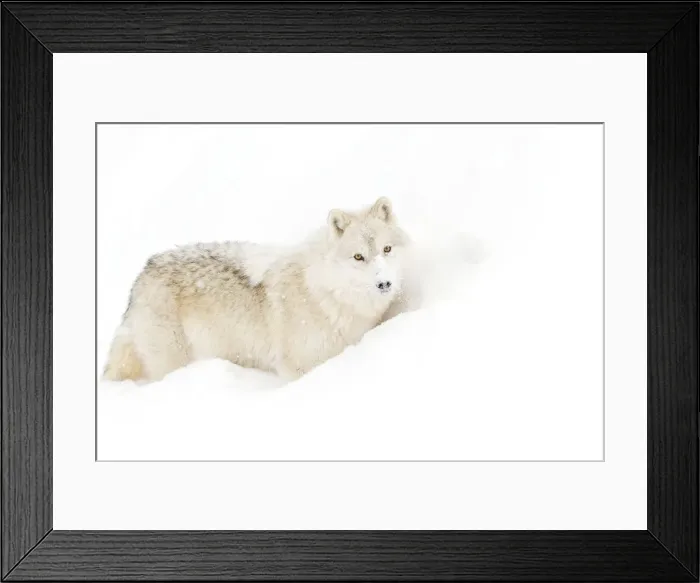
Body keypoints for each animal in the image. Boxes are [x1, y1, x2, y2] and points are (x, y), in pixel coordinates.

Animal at [102, 197, 416, 383]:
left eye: (387, 249)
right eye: (358, 257)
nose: (384, 284)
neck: (326, 297)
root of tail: (144, 271)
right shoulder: (296, 368)